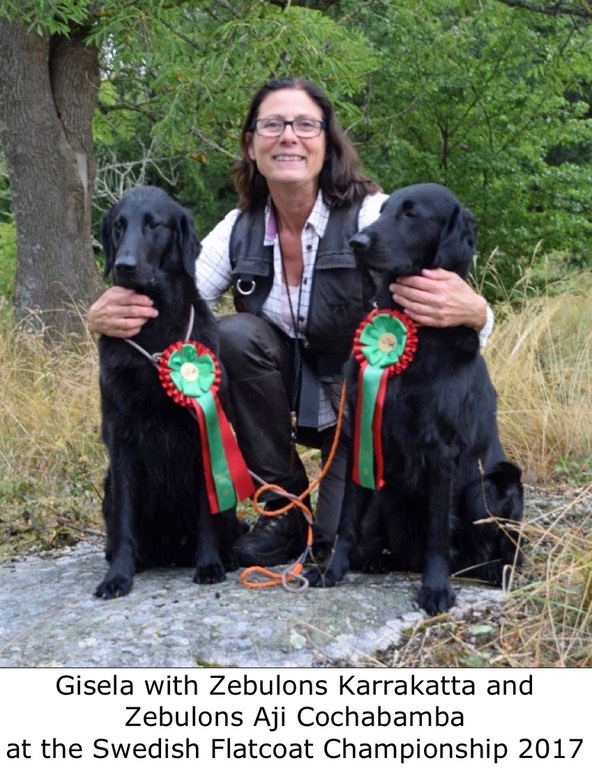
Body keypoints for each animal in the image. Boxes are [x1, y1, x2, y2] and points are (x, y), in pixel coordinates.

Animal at [95, 186, 247, 600]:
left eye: (154, 224)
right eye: (119, 226)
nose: (124, 266)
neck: (157, 337)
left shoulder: (203, 437)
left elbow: (207, 514)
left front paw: (209, 564)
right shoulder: (121, 439)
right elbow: (125, 522)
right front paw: (118, 576)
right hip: (108, 486)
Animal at [308, 185, 524, 616]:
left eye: (411, 213)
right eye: (383, 209)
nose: (357, 243)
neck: (414, 330)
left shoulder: (442, 449)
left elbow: (438, 530)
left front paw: (436, 588)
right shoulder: (361, 436)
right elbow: (345, 521)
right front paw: (331, 569)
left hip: (499, 483)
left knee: (511, 549)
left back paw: (496, 569)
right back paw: (378, 559)